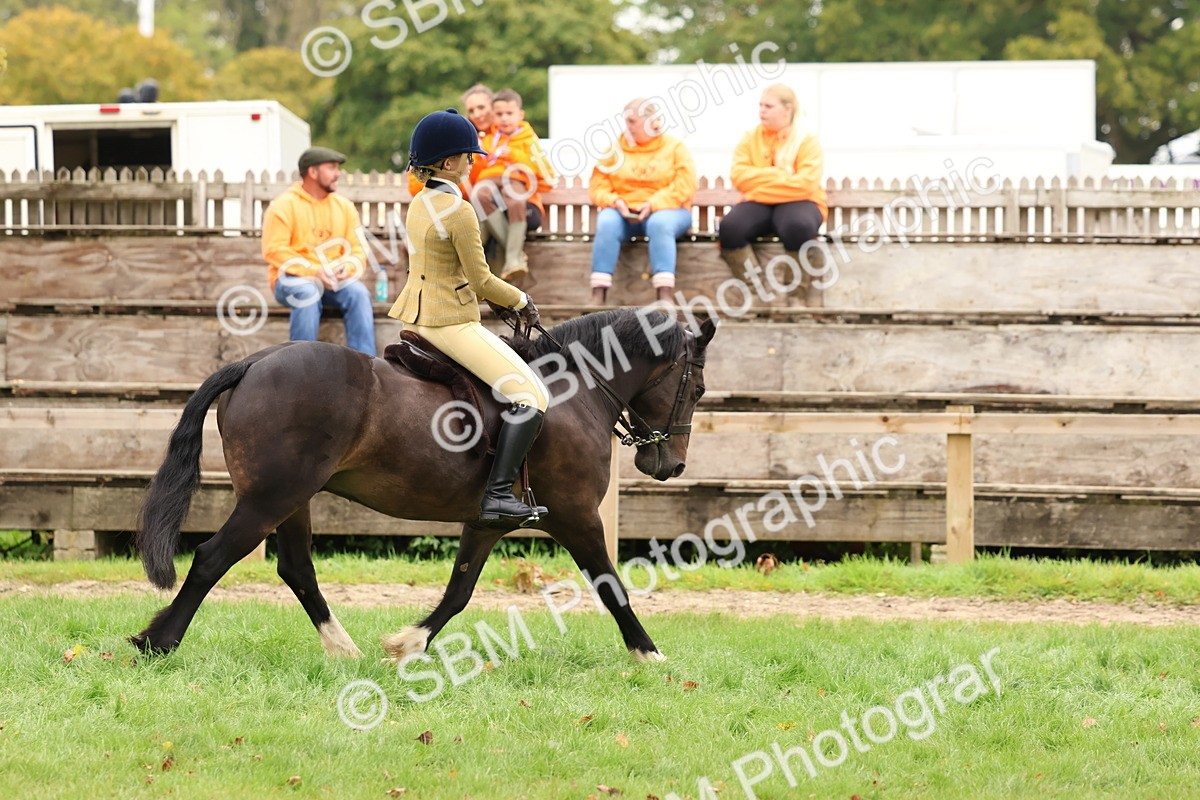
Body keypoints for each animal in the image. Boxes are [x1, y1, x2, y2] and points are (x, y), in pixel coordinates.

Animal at [130, 308, 717, 663]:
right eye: (699, 388)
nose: (671, 465)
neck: (575, 391)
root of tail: (255, 361)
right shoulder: (577, 516)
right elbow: (611, 585)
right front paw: (649, 655)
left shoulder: (485, 521)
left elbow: (459, 591)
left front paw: (408, 643)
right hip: (272, 497)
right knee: (212, 558)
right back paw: (158, 641)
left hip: (290, 500)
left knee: (296, 568)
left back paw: (344, 649)